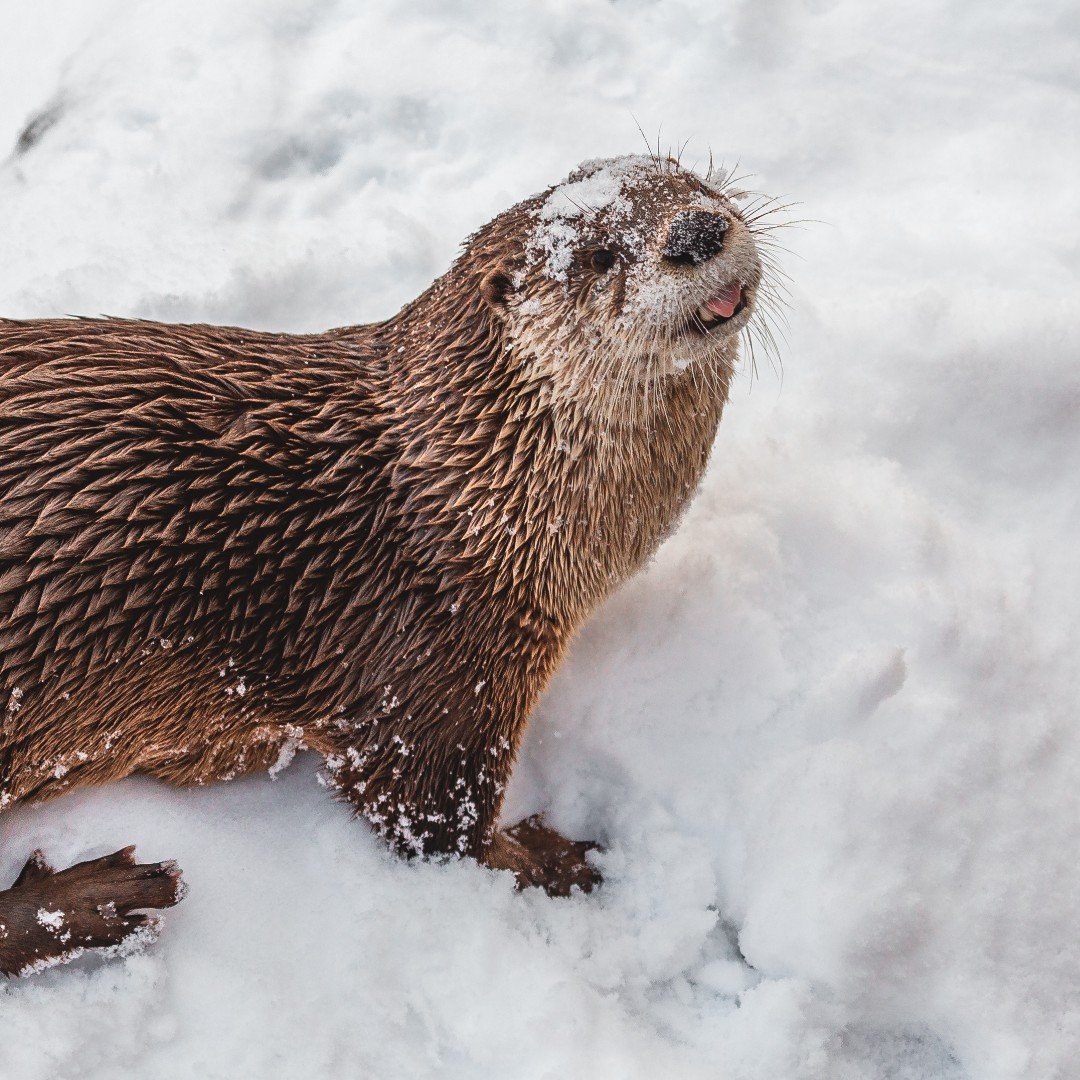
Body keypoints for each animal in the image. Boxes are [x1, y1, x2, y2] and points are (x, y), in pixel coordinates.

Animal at [0, 154, 768, 980]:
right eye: (598, 257)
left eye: (690, 178)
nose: (698, 230)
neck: (467, 506)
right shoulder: (431, 663)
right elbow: (428, 821)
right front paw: (565, 863)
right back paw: (102, 899)